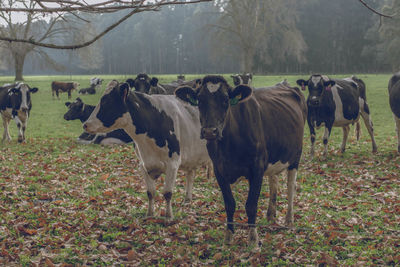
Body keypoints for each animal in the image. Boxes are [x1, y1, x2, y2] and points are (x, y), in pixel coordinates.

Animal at [83, 80, 211, 221]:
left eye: (107, 102)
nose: (85, 124)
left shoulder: (173, 163)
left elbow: (167, 193)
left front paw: (168, 216)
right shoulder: (143, 164)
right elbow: (150, 193)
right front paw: (149, 214)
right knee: (190, 175)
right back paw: (187, 200)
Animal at [174, 75, 306, 247]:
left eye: (225, 100)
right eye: (200, 100)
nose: (210, 131)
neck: (229, 145)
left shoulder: (257, 168)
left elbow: (251, 205)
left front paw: (253, 239)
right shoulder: (219, 169)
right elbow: (229, 204)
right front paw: (228, 236)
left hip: (295, 156)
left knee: (291, 186)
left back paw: (289, 220)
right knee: (274, 180)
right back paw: (270, 214)